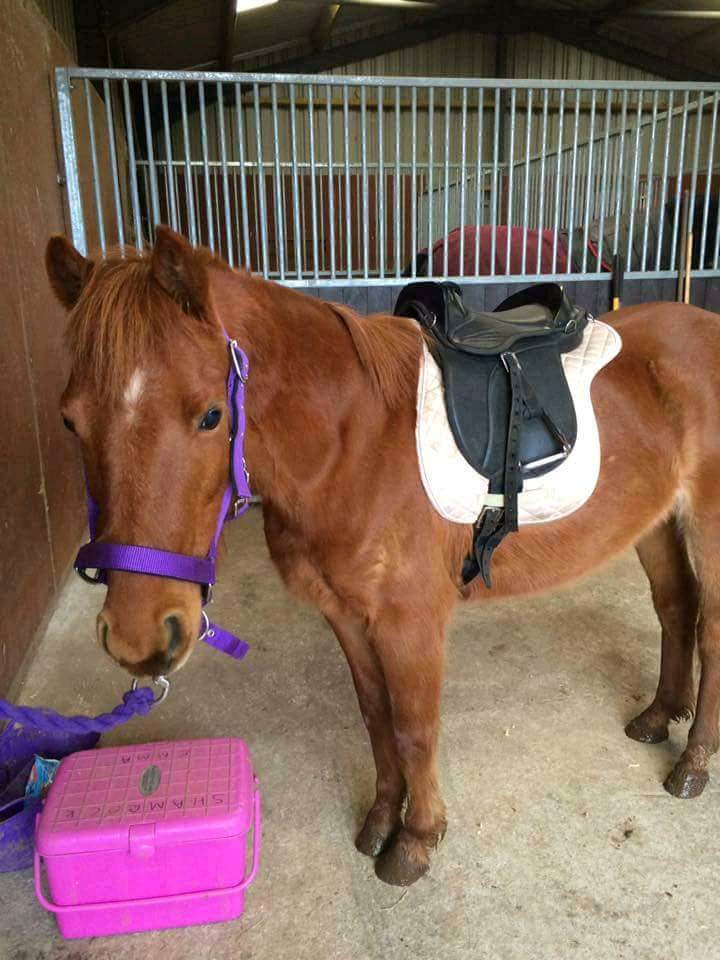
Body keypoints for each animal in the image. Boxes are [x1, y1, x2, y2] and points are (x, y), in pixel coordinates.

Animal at [45, 225, 720, 887]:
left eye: (211, 415)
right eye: (71, 422)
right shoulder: (346, 617)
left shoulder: (409, 625)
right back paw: (659, 716)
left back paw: (692, 763)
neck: (351, 443)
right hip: (655, 524)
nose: (137, 636)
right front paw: (379, 821)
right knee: (675, 607)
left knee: (710, 634)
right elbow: (376, 718)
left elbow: (414, 728)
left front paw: (416, 841)